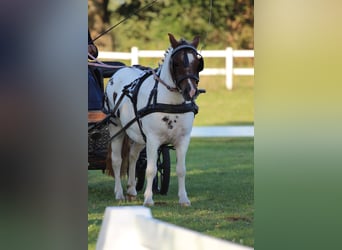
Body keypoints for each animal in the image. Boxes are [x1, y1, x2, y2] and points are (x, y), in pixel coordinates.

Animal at [105, 33, 203, 205]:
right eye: (176, 63)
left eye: (198, 63)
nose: (191, 92)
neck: (170, 103)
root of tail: (119, 71)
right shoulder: (152, 139)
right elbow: (151, 169)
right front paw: (148, 199)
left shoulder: (183, 139)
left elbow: (181, 170)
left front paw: (184, 199)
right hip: (116, 127)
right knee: (117, 160)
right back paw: (119, 193)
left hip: (137, 134)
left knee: (133, 156)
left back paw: (131, 189)